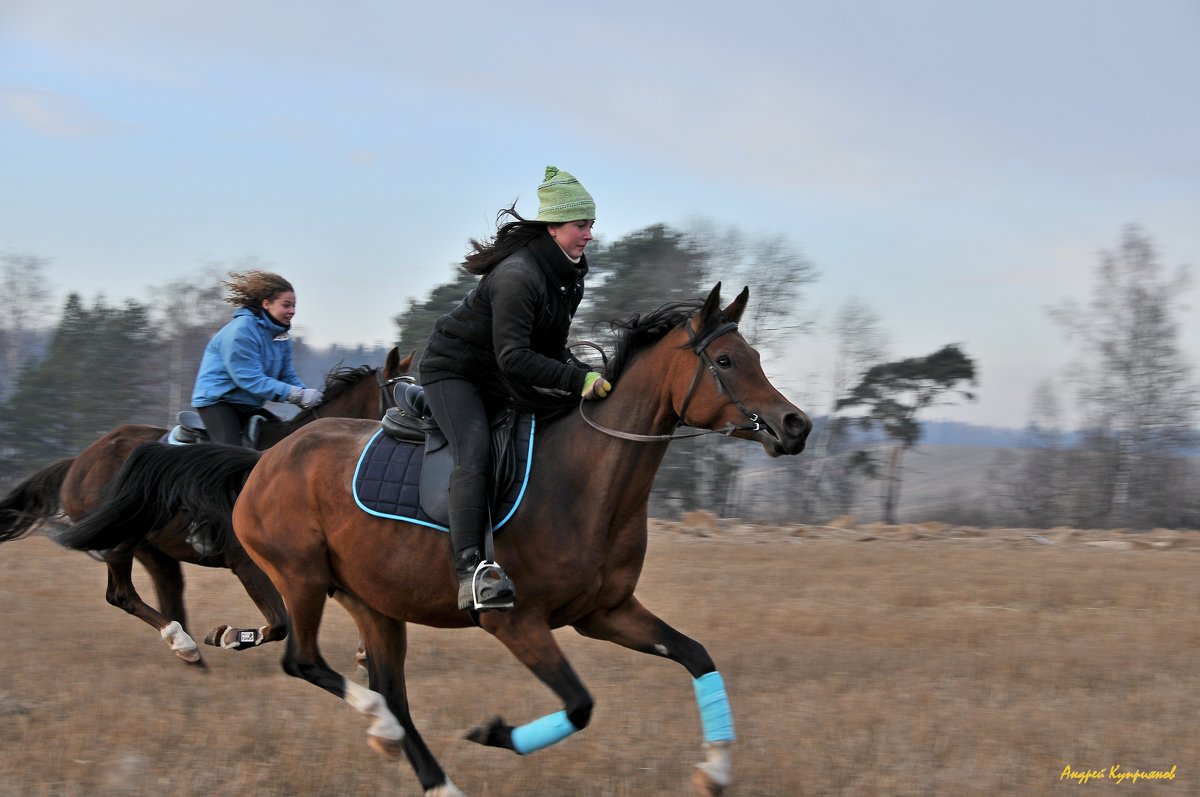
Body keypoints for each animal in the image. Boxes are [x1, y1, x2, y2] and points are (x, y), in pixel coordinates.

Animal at [0, 348, 412, 667]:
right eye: (402, 395)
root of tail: (79, 461)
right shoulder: (248, 566)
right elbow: (279, 624)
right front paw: (229, 635)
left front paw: (366, 653)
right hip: (121, 540)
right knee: (122, 594)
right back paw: (182, 642)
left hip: (154, 550)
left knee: (166, 594)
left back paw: (188, 652)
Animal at [58, 286, 806, 797]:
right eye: (726, 359)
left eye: (757, 355)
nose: (794, 425)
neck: (582, 480)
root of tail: (264, 462)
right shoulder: (517, 620)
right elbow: (579, 703)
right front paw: (494, 732)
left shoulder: (606, 612)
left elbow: (697, 655)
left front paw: (716, 769)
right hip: (300, 576)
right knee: (304, 659)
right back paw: (363, 720)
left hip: (370, 601)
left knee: (386, 686)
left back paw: (432, 776)